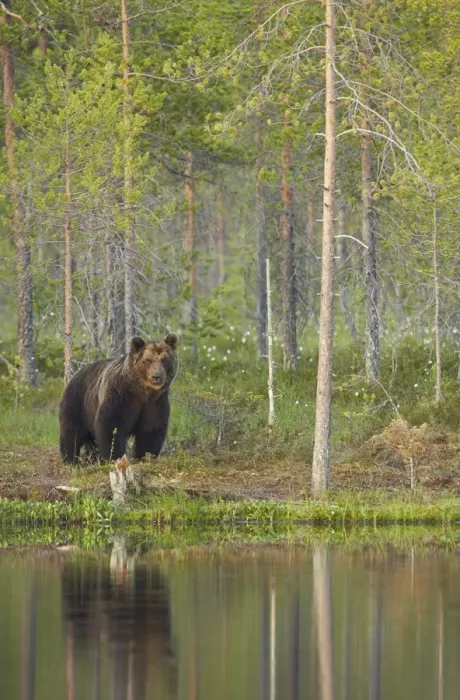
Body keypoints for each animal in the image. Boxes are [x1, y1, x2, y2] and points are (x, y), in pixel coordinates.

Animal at [59, 333, 178, 464]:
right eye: (147, 360)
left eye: (164, 359)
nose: (156, 376)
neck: (141, 391)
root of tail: (75, 375)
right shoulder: (120, 396)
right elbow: (112, 427)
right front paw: (115, 457)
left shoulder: (155, 403)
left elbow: (151, 430)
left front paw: (145, 456)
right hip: (78, 403)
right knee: (71, 434)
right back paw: (70, 460)